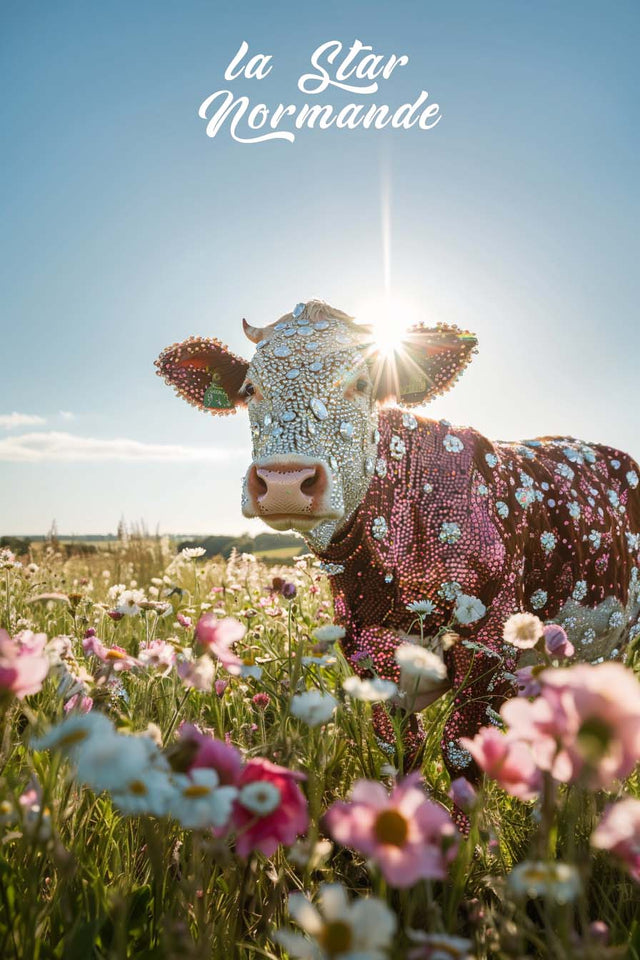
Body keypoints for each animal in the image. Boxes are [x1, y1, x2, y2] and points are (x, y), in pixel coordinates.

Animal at [155, 298, 640, 804]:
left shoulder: (491, 649)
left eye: (362, 384)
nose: (285, 482)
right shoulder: (366, 654)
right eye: (250, 389)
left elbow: (461, 757)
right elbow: (400, 753)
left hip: (619, 641)